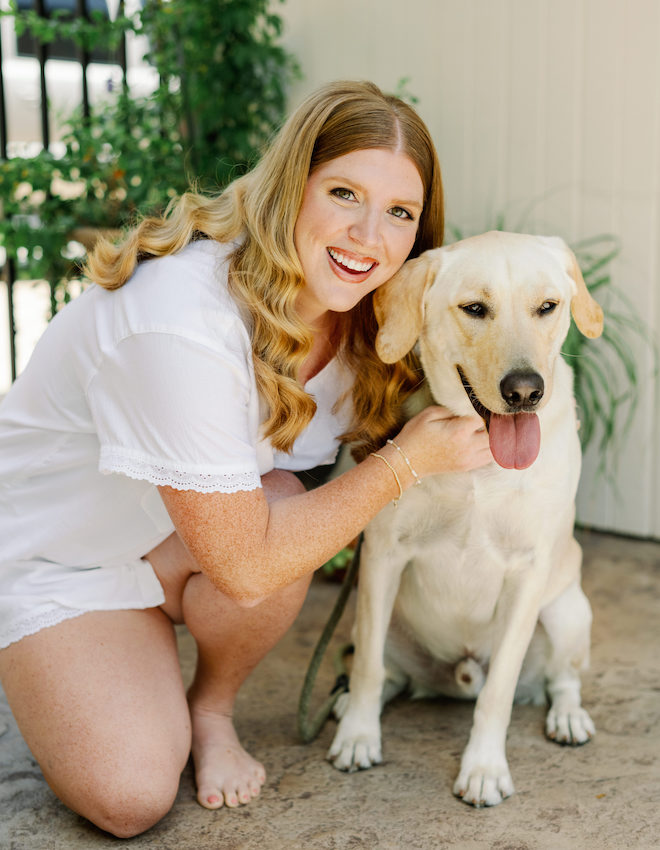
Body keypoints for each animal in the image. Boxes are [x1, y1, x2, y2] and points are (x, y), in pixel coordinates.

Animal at [328, 229, 604, 804]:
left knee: (562, 679)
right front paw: (359, 736)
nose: (525, 391)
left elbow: (498, 693)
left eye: (547, 306)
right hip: (372, 613)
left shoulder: (528, 572)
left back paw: (568, 718)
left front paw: (484, 768)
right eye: (475, 309)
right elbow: (366, 668)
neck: (482, 459)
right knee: (380, 666)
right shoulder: (383, 556)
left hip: (566, 610)